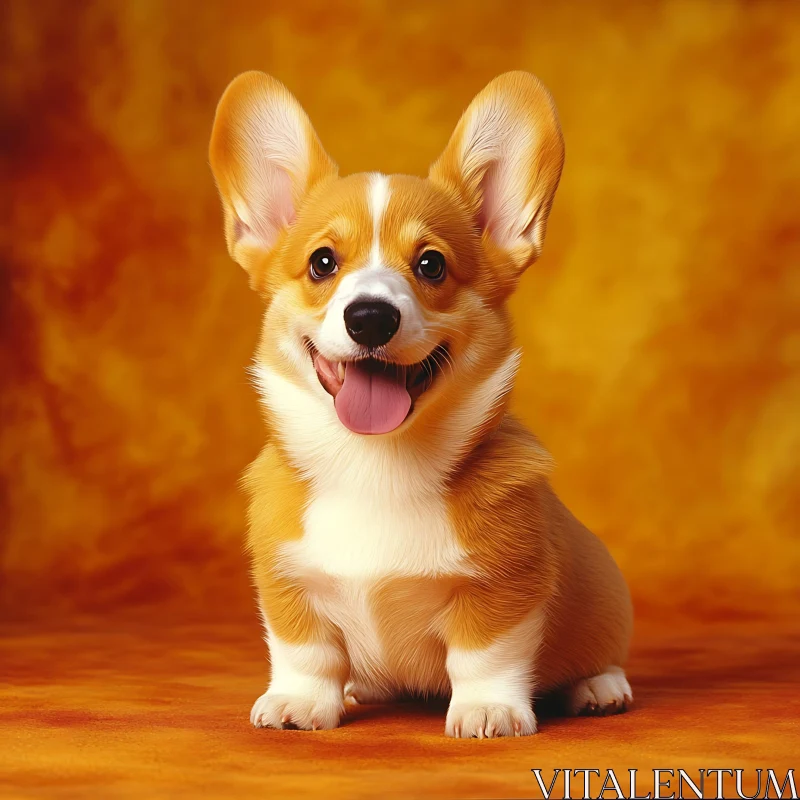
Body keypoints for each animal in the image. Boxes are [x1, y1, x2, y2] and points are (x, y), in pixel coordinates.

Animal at [209, 70, 636, 736]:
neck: (375, 464)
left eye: (431, 264)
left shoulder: (505, 587)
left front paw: (488, 710)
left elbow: (484, 656)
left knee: (600, 657)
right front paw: (300, 702)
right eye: (322, 262)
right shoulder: (286, 581)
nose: (370, 316)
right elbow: (305, 651)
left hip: (603, 600)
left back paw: (600, 688)